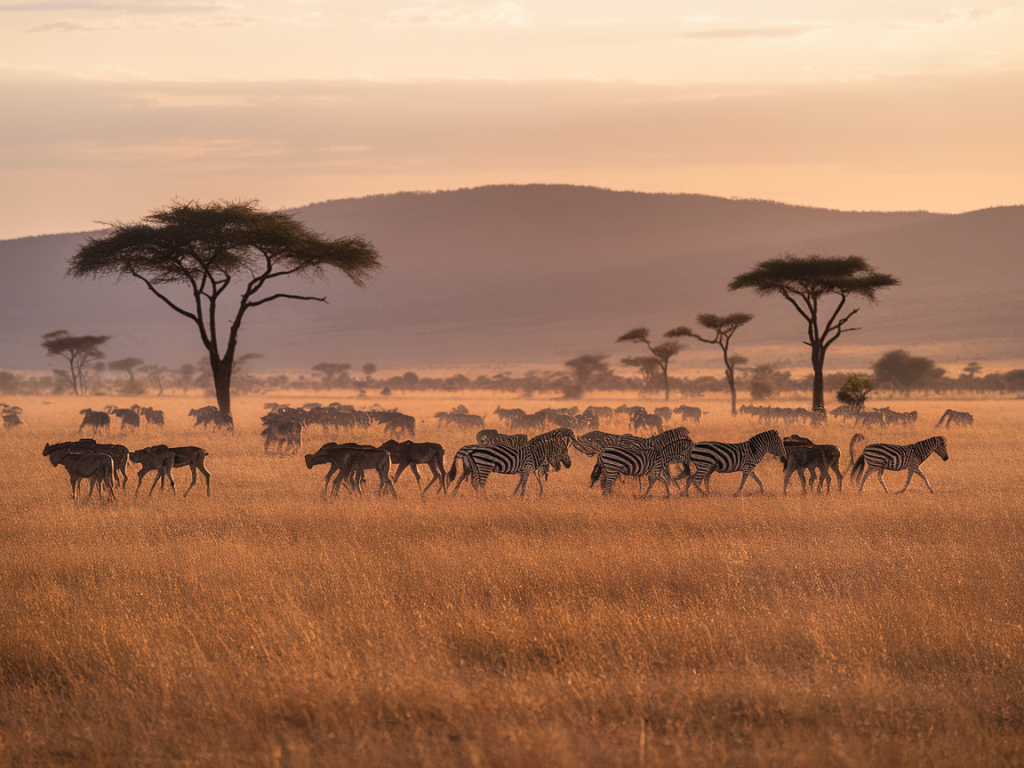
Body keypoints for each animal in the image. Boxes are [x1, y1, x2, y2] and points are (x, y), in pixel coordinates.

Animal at [446, 428, 581, 499]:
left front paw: (514, 495)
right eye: (563, 451)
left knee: (465, 481)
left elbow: (519, 483)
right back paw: (485, 499)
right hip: (484, 467)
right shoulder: (526, 469)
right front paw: (521, 497)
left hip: (471, 468)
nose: (569, 465)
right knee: (480, 483)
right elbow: (523, 485)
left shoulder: (522, 471)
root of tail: (469, 450)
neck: (535, 451)